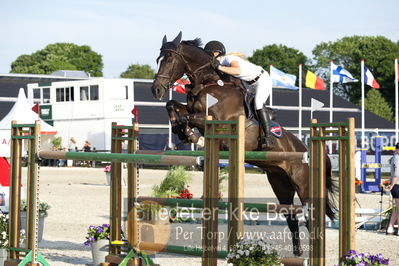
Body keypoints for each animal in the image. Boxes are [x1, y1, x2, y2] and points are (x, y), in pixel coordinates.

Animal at [152, 32, 336, 256]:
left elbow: (190, 118)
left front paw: (191, 135)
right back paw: (298, 253)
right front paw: (183, 132)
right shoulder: (191, 108)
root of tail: (310, 151)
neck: (209, 83)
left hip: (303, 185)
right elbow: (173, 106)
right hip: (280, 183)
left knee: (311, 217)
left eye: (169, 60)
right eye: (158, 59)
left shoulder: (216, 119)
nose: (156, 90)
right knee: (291, 217)